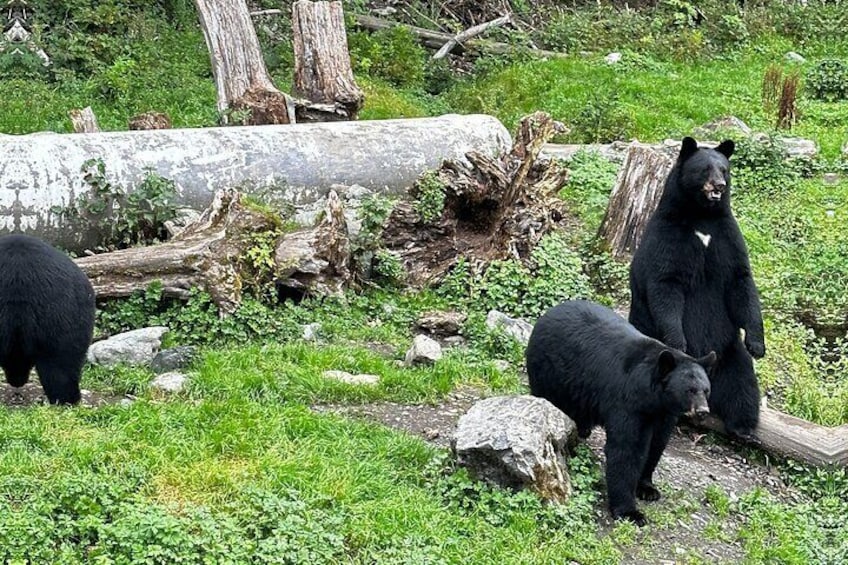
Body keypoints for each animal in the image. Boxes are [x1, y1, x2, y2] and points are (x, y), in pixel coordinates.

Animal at [0, 234, 95, 404]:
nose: (17, 382)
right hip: (69, 314)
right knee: (63, 362)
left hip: (63, 316)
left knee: (60, 363)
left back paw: (65, 398)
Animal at [526, 300, 714, 526]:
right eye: (690, 390)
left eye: (706, 390)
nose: (703, 411)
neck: (653, 399)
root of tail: (548, 313)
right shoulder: (628, 403)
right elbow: (627, 449)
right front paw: (630, 511)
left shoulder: (664, 414)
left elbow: (656, 444)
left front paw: (647, 488)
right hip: (549, 372)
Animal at [629, 136, 765, 440]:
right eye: (705, 169)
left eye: (724, 169)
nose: (720, 186)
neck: (701, 217)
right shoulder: (669, 237)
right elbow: (666, 285)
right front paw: (679, 341)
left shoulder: (726, 236)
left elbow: (740, 281)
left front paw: (757, 344)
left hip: (729, 352)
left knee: (743, 386)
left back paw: (743, 427)